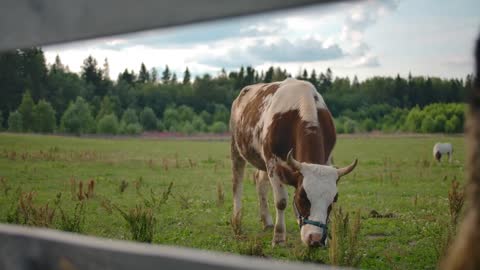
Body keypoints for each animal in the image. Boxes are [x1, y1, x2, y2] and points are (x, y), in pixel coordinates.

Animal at [231, 78, 358, 247]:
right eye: (302, 197)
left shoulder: (326, 160)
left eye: (334, 199)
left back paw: (267, 221)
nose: (315, 239)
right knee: (237, 182)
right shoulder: (273, 163)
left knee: (260, 182)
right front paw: (279, 237)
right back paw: (237, 220)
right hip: (236, 147)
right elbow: (281, 201)